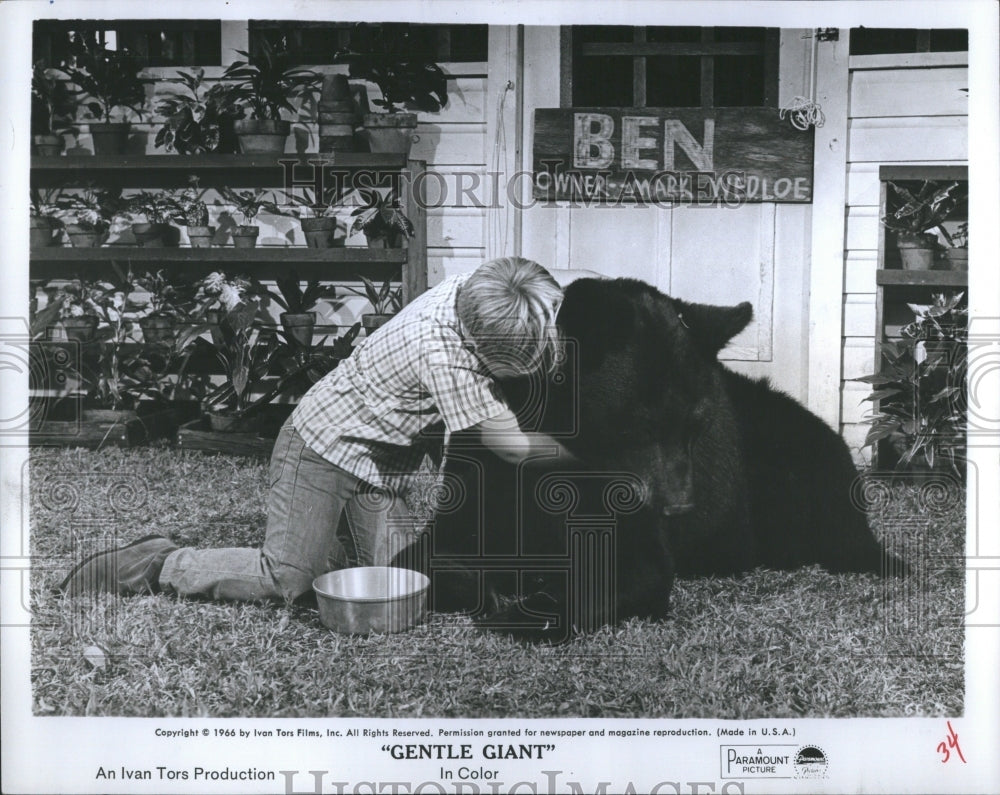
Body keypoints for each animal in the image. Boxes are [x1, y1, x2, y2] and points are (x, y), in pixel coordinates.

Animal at [396, 276, 908, 644]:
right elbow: (425, 553)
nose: (679, 506)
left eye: (698, 424)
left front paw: (525, 611)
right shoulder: (486, 470)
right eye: (638, 424)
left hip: (795, 466)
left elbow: (631, 570)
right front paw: (480, 585)